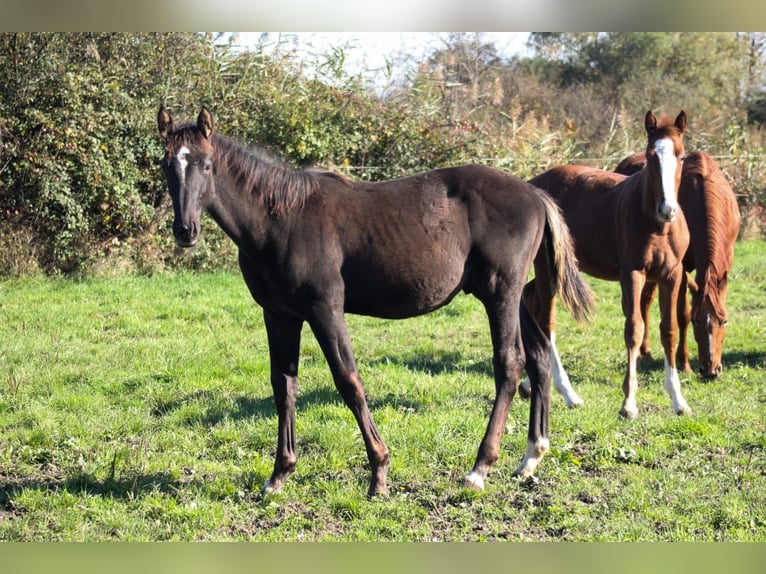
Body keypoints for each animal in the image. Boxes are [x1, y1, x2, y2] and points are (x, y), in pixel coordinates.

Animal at [159, 106, 596, 498]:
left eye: (207, 165)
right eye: (166, 166)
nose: (185, 231)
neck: (280, 219)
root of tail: (535, 193)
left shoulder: (325, 309)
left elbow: (348, 381)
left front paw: (379, 473)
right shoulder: (279, 315)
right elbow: (283, 386)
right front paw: (279, 475)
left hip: (500, 293)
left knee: (509, 363)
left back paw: (479, 469)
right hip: (513, 296)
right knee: (538, 356)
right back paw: (531, 456)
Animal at [524, 111, 692, 418]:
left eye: (682, 155)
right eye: (650, 155)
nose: (667, 209)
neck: (657, 225)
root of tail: (532, 185)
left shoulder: (672, 275)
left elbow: (669, 330)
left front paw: (679, 401)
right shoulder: (633, 274)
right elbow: (634, 329)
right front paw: (628, 404)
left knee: (531, 301)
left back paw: (530, 384)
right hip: (547, 266)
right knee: (547, 319)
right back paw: (568, 393)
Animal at [616, 151, 740, 380]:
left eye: (724, 321)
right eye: (696, 322)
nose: (710, 370)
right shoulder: (680, 268)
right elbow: (682, 314)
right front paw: (684, 364)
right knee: (643, 302)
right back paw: (644, 353)